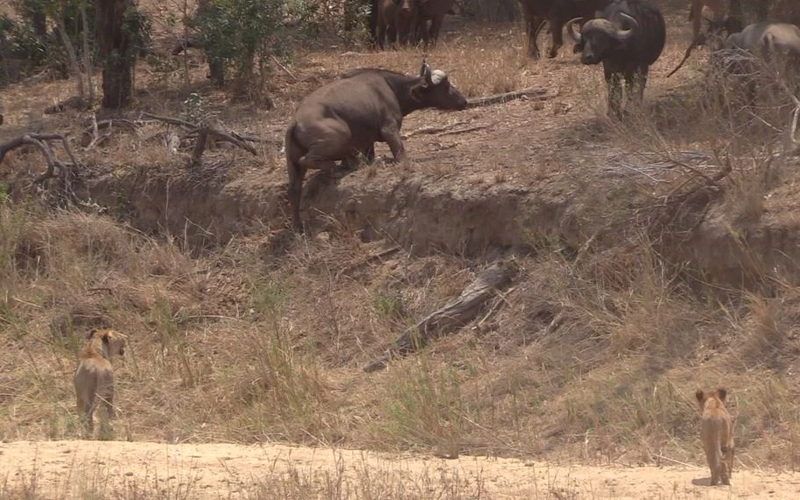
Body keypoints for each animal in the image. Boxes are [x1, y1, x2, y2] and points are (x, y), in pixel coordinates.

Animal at [284, 62, 468, 232]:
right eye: (446, 86)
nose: (464, 101)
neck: (391, 87)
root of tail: (296, 120)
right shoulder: (390, 130)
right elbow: (400, 154)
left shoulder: (368, 142)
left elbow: (370, 156)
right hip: (340, 136)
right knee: (306, 159)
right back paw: (335, 168)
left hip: (293, 165)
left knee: (294, 190)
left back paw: (298, 226)